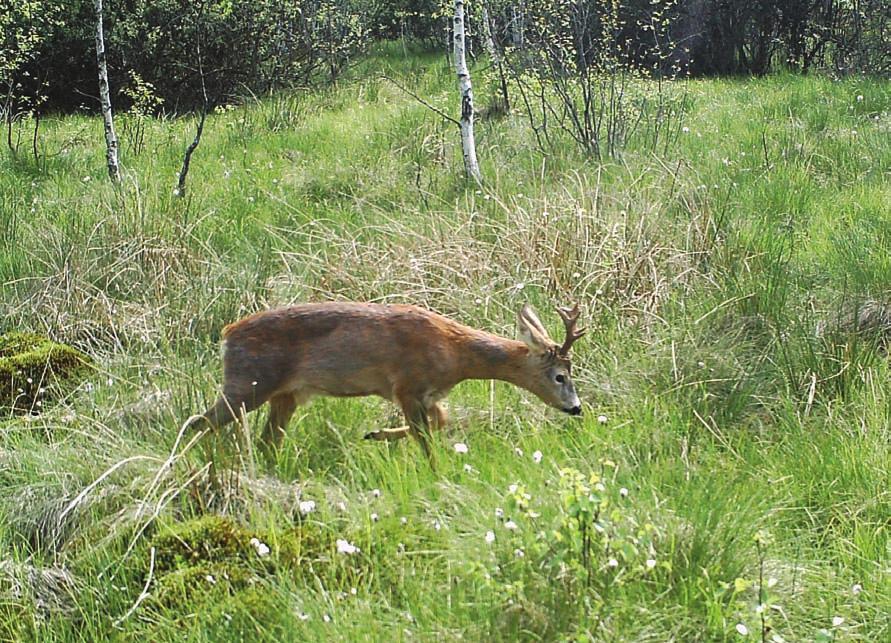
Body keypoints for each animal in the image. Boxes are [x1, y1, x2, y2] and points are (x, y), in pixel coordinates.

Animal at [195, 304, 584, 460]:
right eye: (560, 376)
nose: (577, 408)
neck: (455, 354)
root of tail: (227, 335)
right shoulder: (407, 386)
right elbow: (425, 439)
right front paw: (435, 472)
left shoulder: (428, 394)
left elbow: (441, 421)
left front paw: (376, 434)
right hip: (249, 382)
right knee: (197, 422)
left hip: (285, 395)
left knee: (267, 442)